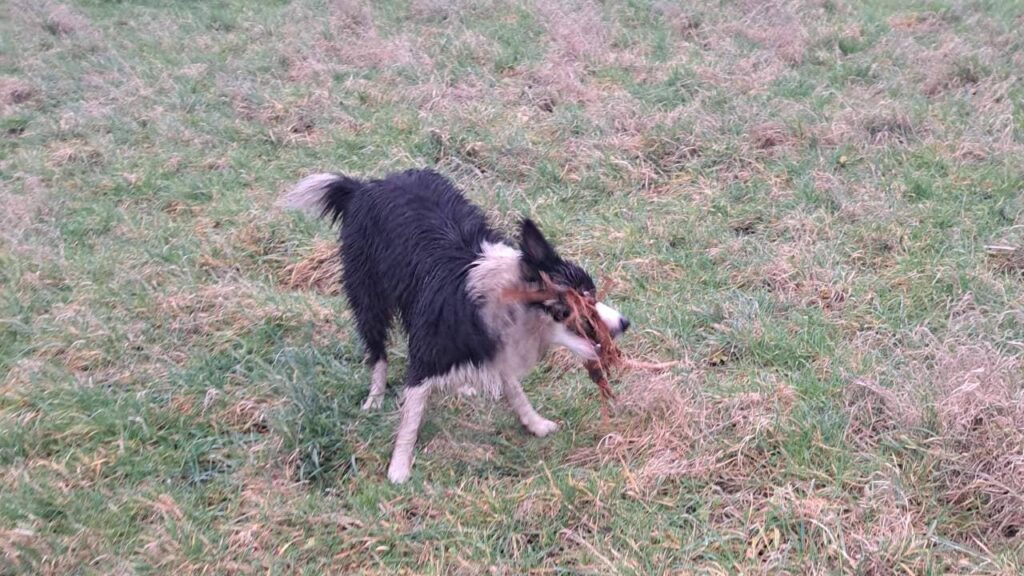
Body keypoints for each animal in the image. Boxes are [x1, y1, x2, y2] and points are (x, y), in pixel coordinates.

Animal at [280, 168, 630, 481]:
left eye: (593, 292)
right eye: (581, 300)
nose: (626, 322)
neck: (507, 300)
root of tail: (363, 187)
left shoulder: (494, 343)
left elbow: (514, 389)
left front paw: (535, 423)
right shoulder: (427, 351)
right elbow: (411, 416)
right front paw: (399, 468)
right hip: (369, 297)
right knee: (377, 352)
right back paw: (375, 398)